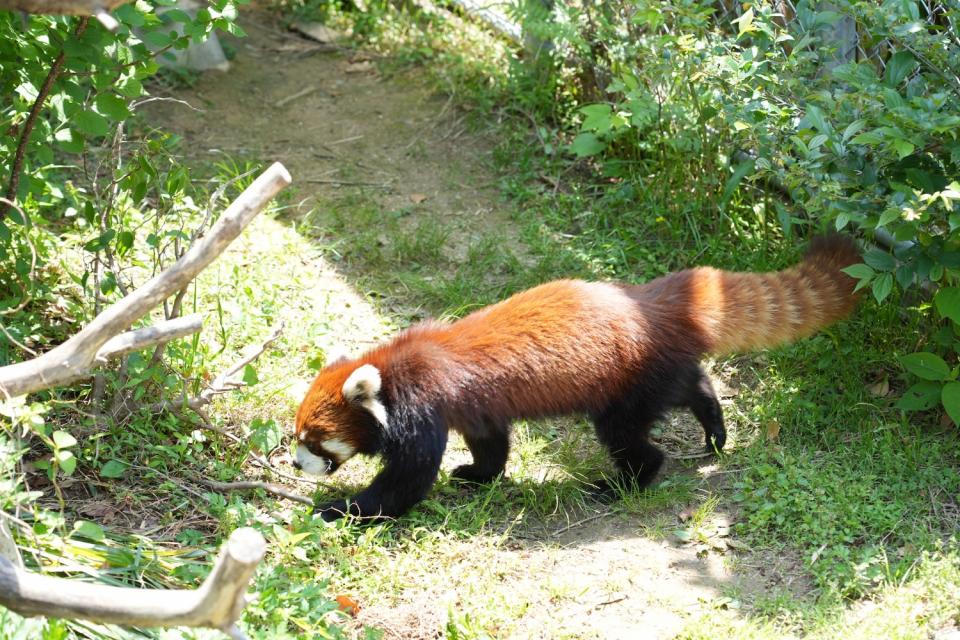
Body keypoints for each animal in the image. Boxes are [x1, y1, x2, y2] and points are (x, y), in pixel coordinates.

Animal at [294, 235, 864, 520]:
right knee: (692, 385)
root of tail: (651, 303)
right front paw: (480, 474)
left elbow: (406, 481)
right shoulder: (477, 408)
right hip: (657, 370)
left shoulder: (422, 407)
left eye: (314, 441)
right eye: (298, 437)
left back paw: (621, 483)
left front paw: (342, 508)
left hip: (628, 387)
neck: (392, 370)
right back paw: (714, 427)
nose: (296, 465)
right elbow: (491, 443)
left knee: (631, 440)